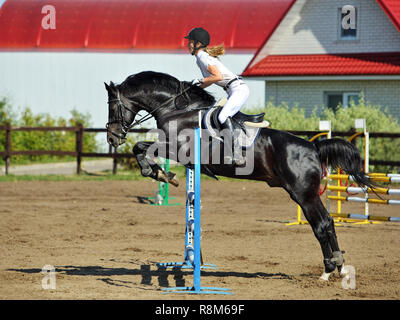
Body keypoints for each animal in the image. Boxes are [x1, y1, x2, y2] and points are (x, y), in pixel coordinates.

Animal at [105, 72, 376, 280]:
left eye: (112, 106)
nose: (112, 138)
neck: (176, 110)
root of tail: (313, 147)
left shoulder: (177, 149)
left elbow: (140, 147)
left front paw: (160, 173)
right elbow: (142, 149)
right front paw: (164, 174)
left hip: (303, 195)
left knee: (320, 225)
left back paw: (328, 269)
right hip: (308, 195)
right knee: (328, 222)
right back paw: (339, 267)